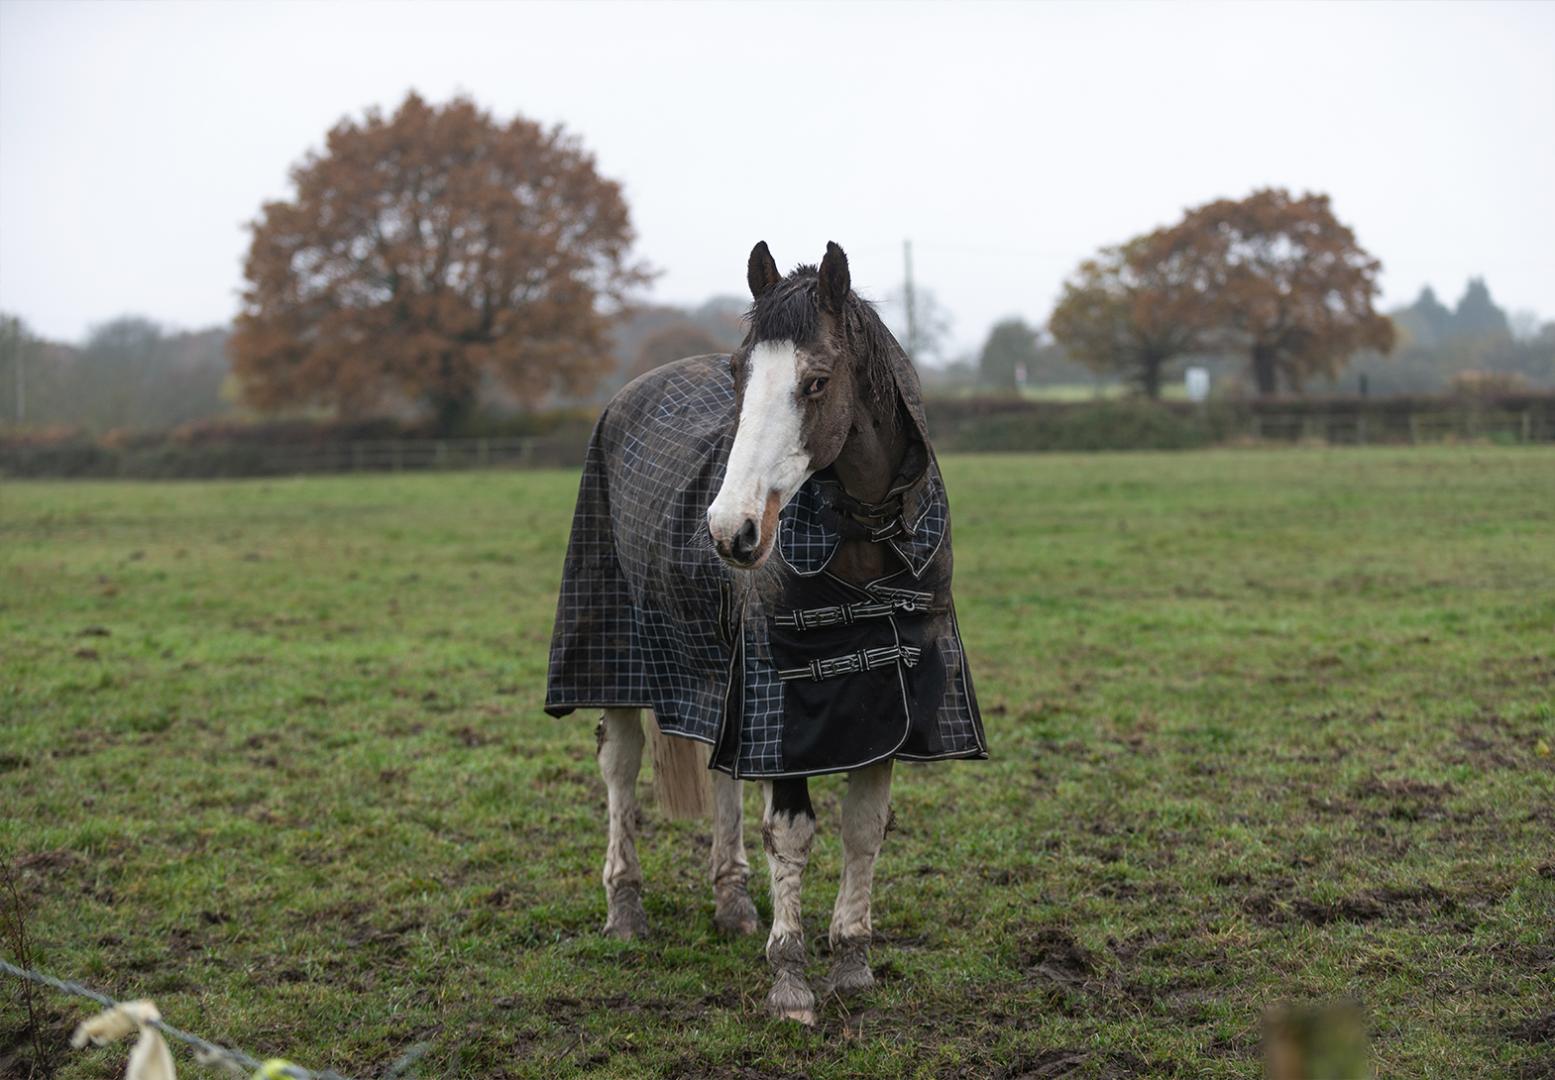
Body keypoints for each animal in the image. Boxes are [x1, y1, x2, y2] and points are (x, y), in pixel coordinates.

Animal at [544, 240, 982, 1025]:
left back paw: (732, 902)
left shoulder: (884, 707)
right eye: (738, 374)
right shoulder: (784, 706)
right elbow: (793, 831)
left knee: (721, 775)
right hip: (611, 656)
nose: (730, 529)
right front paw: (791, 982)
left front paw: (852, 964)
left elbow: (863, 826)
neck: (862, 543)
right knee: (619, 767)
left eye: (816, 381)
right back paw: (625, 910)